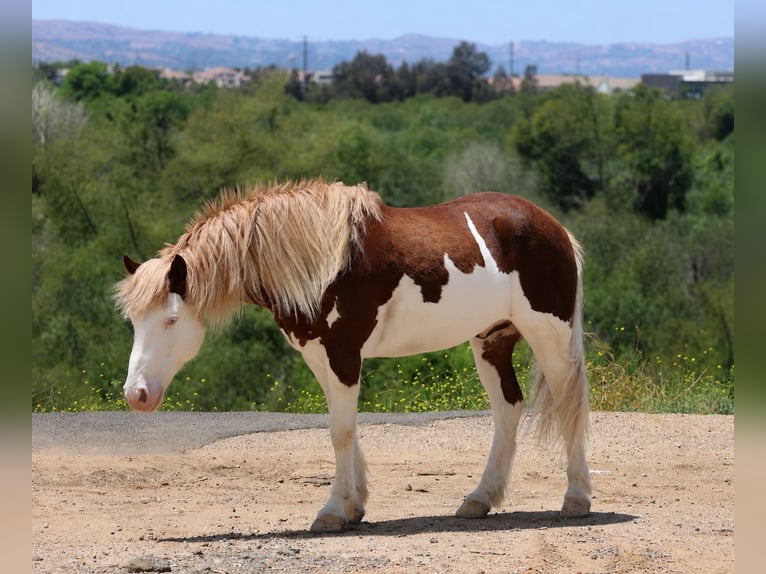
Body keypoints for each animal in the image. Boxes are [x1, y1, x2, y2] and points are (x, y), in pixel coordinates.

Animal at [114, 179, 591, 532]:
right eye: (133, 321)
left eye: (171, 319)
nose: (136, 395)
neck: (321, 260)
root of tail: (554, 228)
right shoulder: (320, 356)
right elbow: (344, 429)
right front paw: (354, 506)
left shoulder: (343, 353)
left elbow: (340, 432)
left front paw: (332, 511)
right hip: (491, 340)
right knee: (508, 409)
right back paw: (479, 499)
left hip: (549, 335)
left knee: (570, 405)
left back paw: (576, 499)